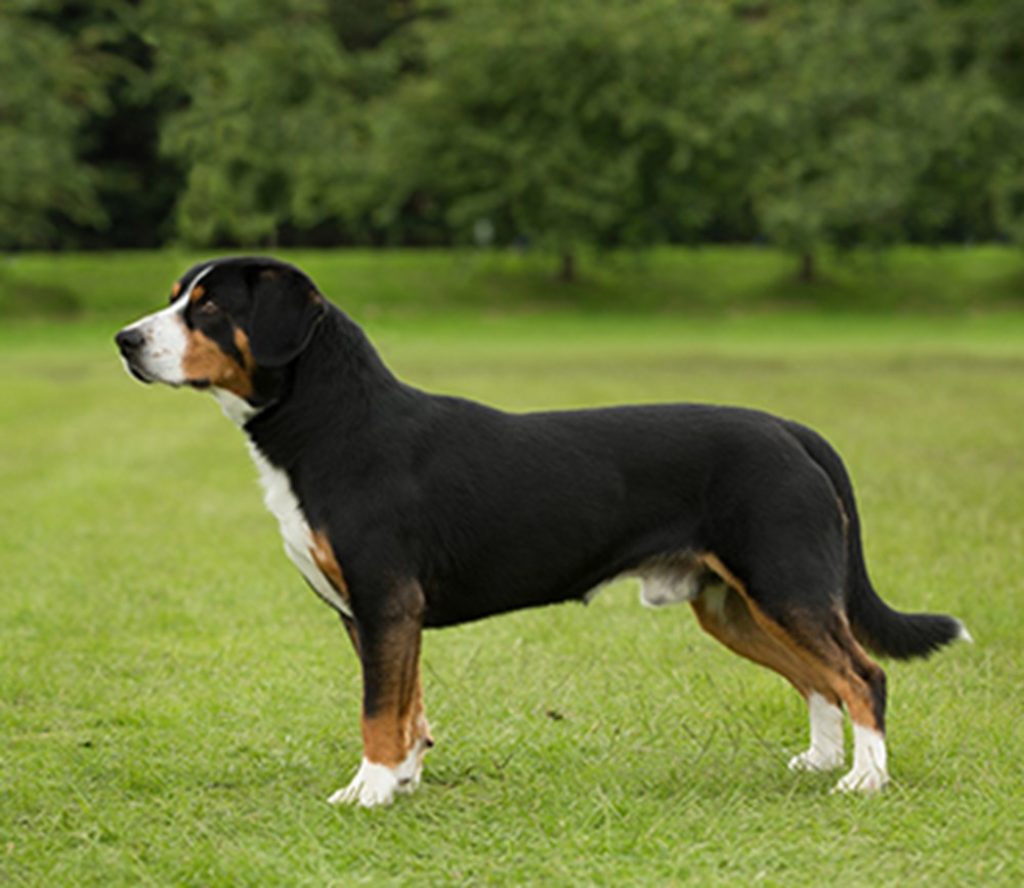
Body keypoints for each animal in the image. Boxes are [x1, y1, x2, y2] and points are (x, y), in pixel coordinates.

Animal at [116, 255, 970, 807]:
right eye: (176, 298)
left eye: (209, 309)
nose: (126, 340)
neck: (334, 427)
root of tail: (789, 429)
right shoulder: (377, 615)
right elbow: (409, 705)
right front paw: (405, 779)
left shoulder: (386, 600)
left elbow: (378, 711)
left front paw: (368, 790)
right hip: (736, 605)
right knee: (819, 678)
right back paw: (822, 762)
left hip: (786, 584)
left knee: (862, 674)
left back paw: (864, 778)